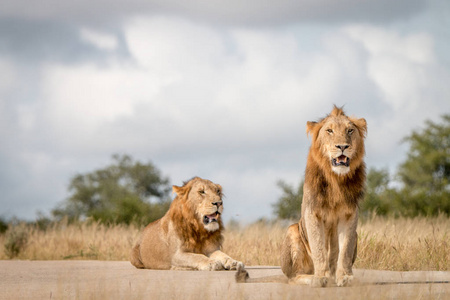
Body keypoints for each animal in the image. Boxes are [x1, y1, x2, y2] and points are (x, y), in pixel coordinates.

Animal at [237, 105, 368, 286]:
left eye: (350, 130)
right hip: (293, 230)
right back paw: (313, 278)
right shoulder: (312, 213)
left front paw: (345, 277)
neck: (336, 178)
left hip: (355, 233)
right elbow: (319, 248)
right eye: (329, 131)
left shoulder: (349, 214)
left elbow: (345, 250)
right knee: (294, 277)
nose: (342, 146)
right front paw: (320, 277)